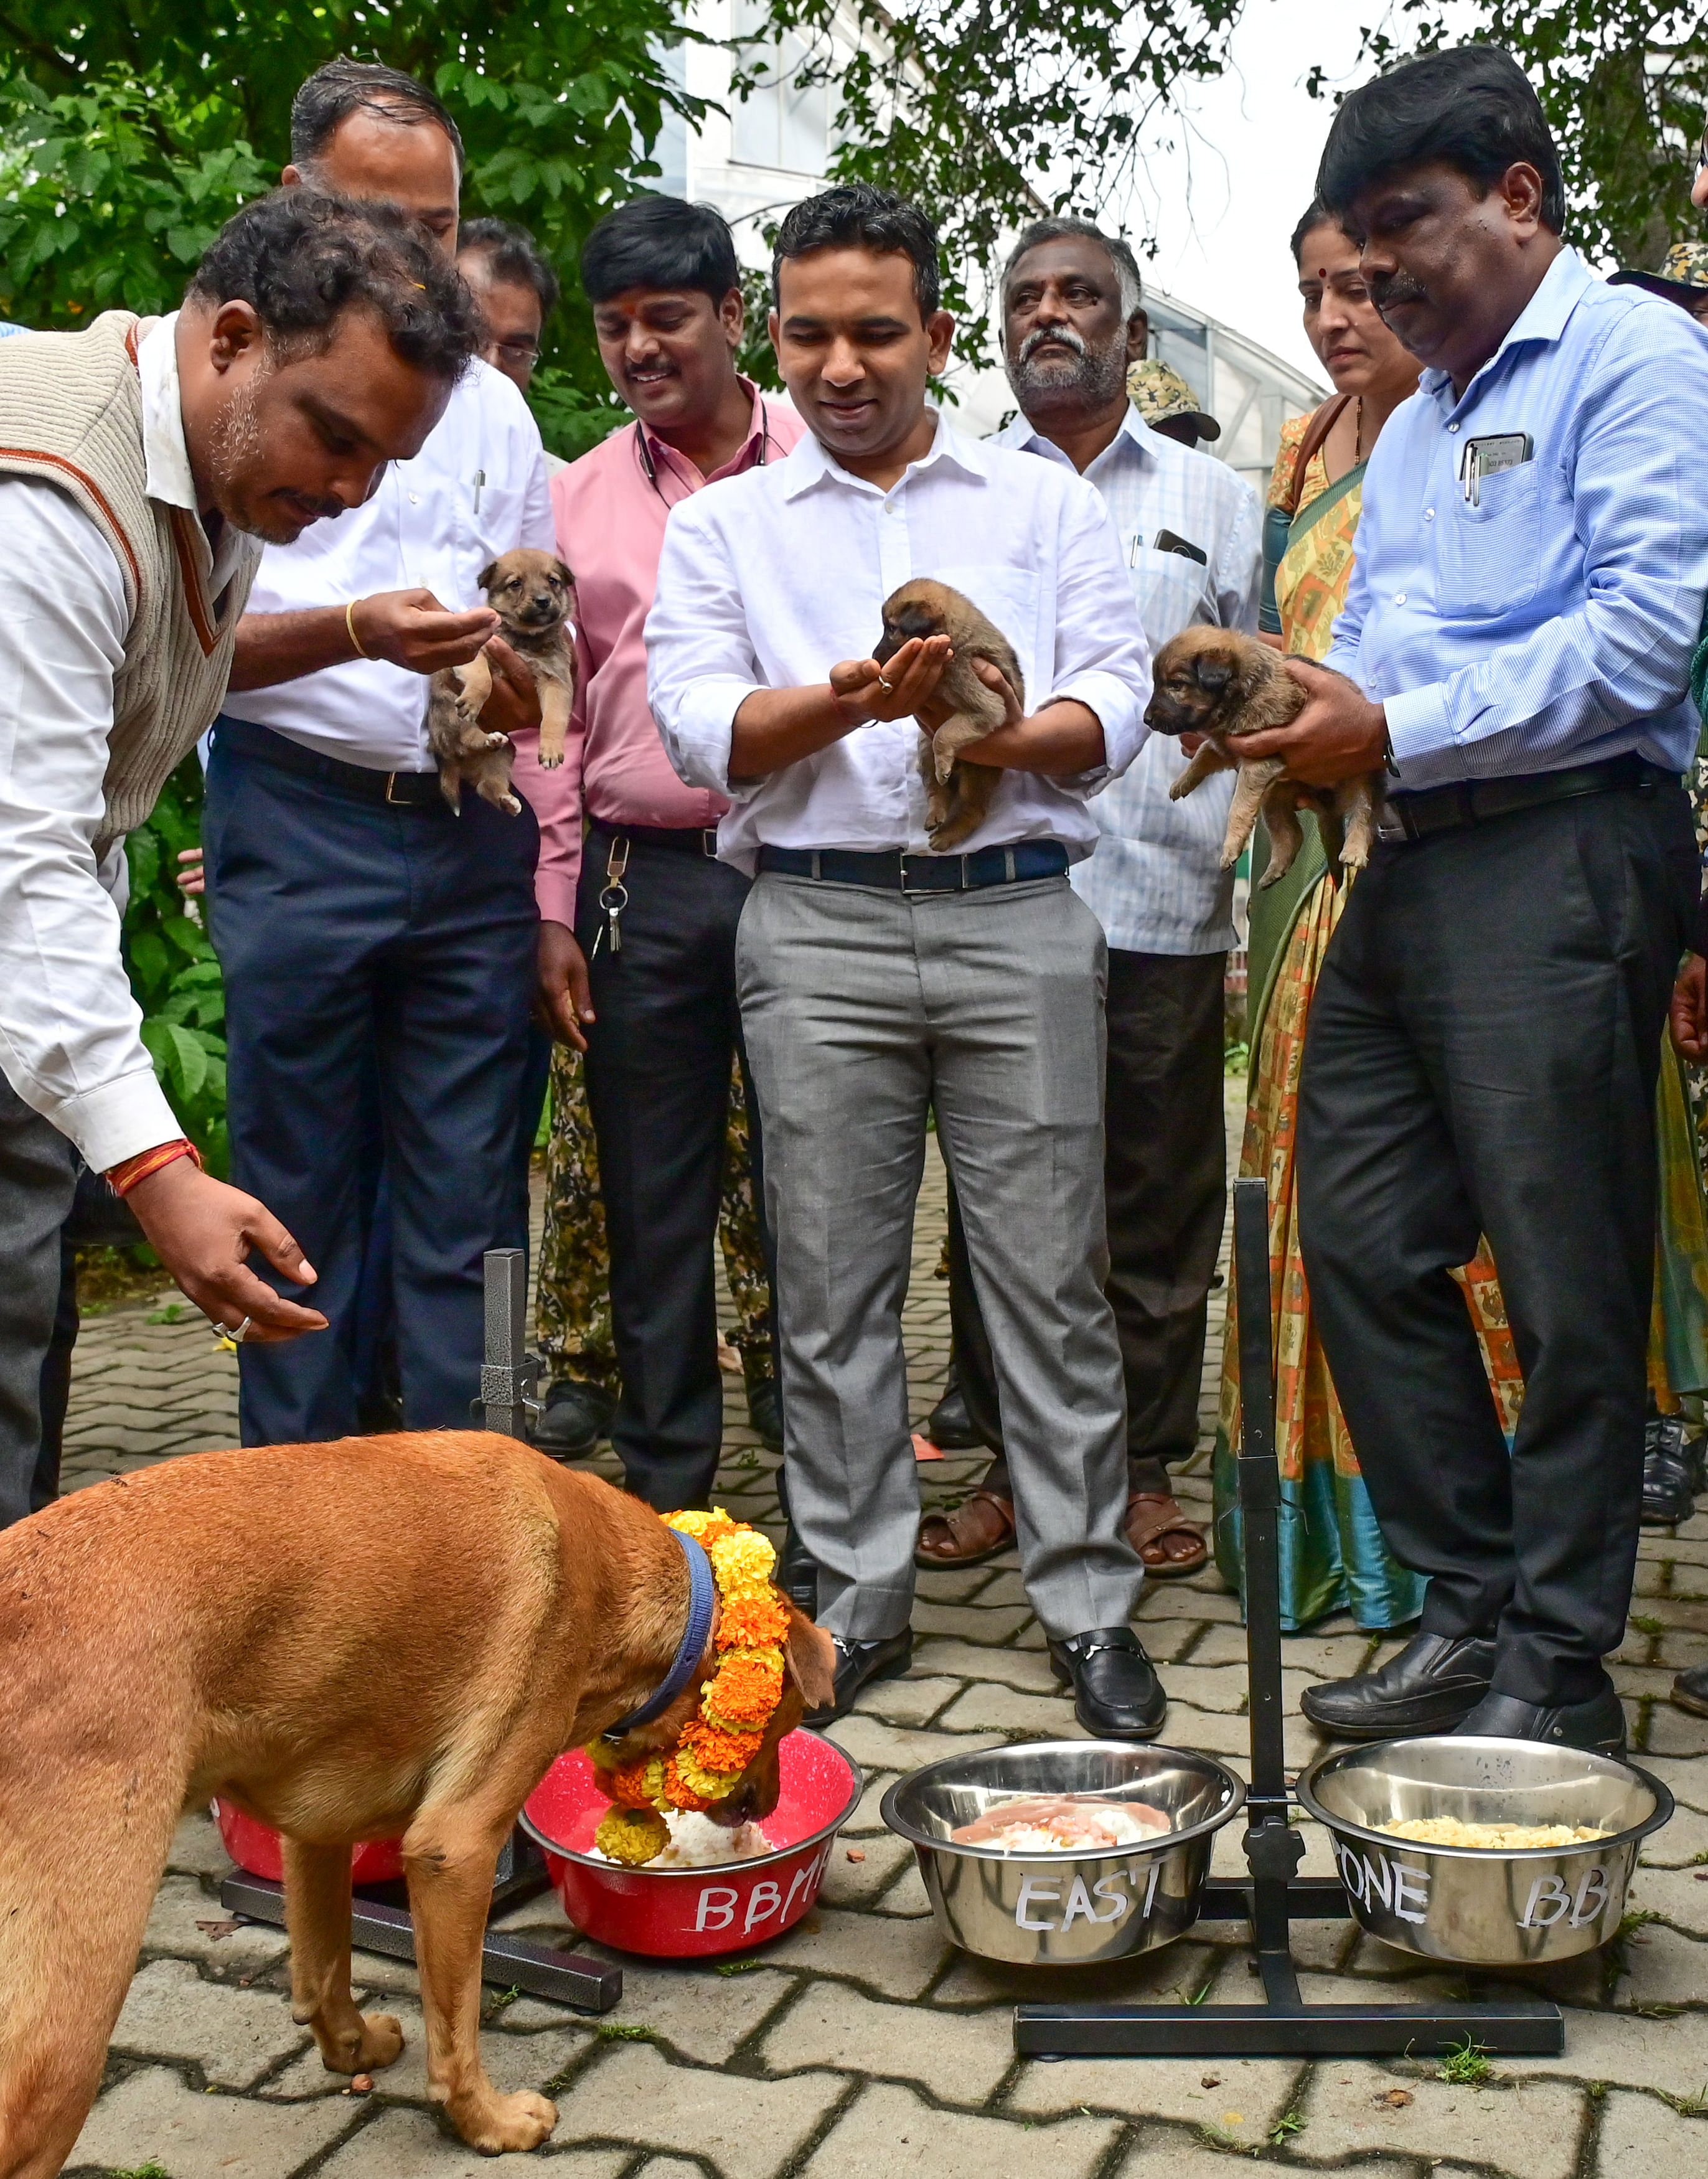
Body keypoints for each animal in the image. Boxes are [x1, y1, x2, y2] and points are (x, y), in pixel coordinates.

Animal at [0, 1438, 832, 2170]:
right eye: (788, 1717)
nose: (768, 1800)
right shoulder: (455, 1848)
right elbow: (455, 2029)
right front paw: (487, 2123)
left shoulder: (316, 1829)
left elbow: (323, 1965)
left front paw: (351, 2048)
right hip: (73, 2003)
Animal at [427, 545, 580, 819]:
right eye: (515, 584)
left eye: (553, 581)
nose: (543, 601)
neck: (525, 638)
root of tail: (450, 760)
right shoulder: (475, 652)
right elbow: (483, 678)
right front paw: (474, 699)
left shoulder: (556, 681)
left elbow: (554, 718)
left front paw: (551, 750)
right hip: (450, 713)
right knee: (466, 736)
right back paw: (487, 737)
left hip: (504, 756)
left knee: (487, 784)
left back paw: (507, 797)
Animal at [876, 580, 1020, 850]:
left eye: (892, 628)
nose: (872, 657)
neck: (956, 638)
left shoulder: (984, 702)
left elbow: (944, 733)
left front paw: (944, 759)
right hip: (924, 747)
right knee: (937, 790)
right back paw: (936, 813)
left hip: (977, 771)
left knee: (974, 810)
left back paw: (949, 833)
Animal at [1142, 623, 1377, 885]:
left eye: (1176, 685)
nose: (1146, 720)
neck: (1244, 692)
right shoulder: (1228, 748)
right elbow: (1203, 753)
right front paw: (1182, 783)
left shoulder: (1257, 762)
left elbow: (1238, 808)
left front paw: (1230, 848)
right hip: (1274, 799)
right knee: (1290, 834)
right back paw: (1274, 871)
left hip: (1359, 781)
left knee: (1363, 815)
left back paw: (1354, 851)